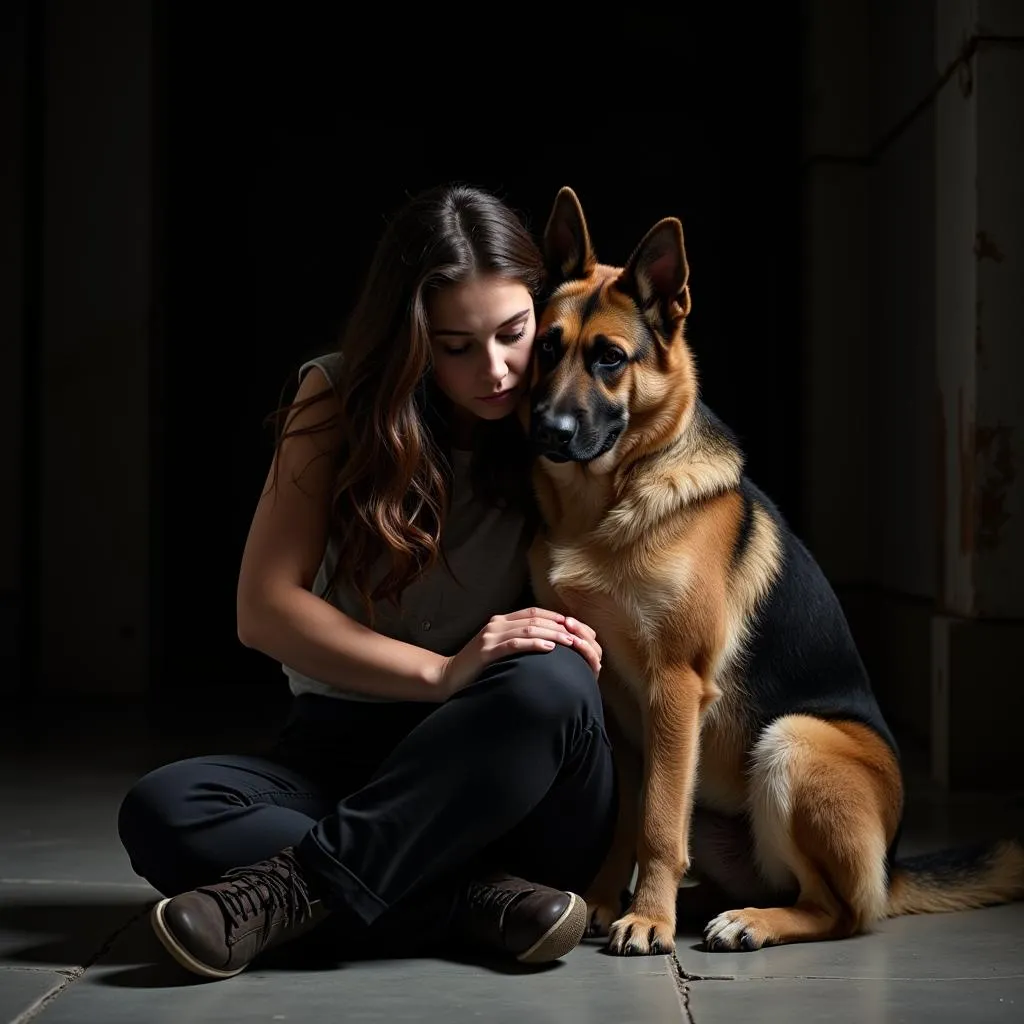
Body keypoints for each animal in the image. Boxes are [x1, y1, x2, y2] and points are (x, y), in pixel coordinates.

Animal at [528, 188, 1024, 954]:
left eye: (609, 358)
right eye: (547, 346)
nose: (547, 430)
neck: (608, 504)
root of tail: (891, 866)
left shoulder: (675, 687)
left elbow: (657, 822)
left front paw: (648, 919)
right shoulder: (614, 700)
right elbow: (625, 817)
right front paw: (608, 898)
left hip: (791, 742)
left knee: (837, 911)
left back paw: (748, 921)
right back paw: (710, 906)